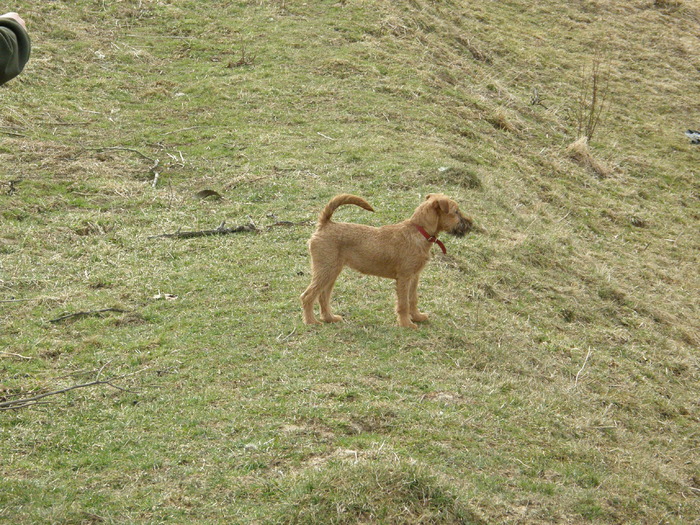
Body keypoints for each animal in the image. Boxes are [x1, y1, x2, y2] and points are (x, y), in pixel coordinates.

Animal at [298, 193, 474, 328]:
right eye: (456, 212)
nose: (470, 224)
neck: (418, 231)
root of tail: (325, 224)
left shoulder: (414, 277)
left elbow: (413, 299)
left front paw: (417, 317)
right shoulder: (404, 278)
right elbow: (403, 303)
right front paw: (406, 324)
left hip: (332, 271)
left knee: (323, 296)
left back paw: (330, 318)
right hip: (325, 270)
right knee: (308, 295)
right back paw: (311, 321)